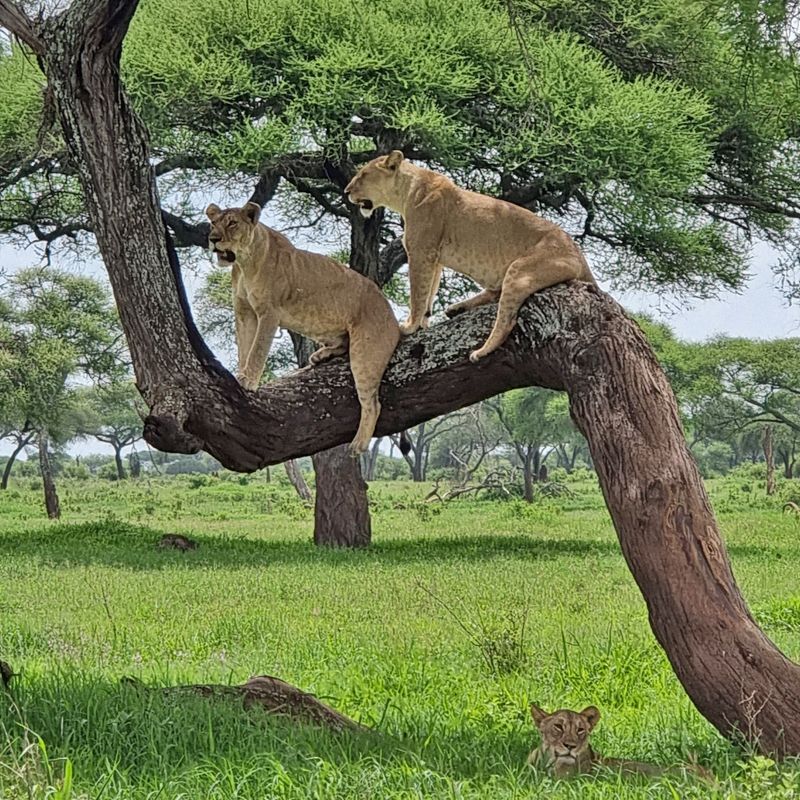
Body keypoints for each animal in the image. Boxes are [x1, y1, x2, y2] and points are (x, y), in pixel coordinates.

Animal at [205, 201, 400, 455]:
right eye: (213, 223)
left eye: (232, 223)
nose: (213, 239)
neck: (244, 264)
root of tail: (392, 315)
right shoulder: (244, 313)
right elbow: (244, 350)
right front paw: (241, 375)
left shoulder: (269, 313)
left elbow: (257, 350)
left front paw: (248, 381)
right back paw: (320, 355)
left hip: (365, 356)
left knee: (373, 404)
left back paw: (357, 445)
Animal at [344, 151, 595, 362]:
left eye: (363, 175)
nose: (346, 191)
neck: (406, 193)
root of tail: (581, 256)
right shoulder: (434, 259)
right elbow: (429, 293)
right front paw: (424, 323)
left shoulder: (421, 252)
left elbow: (417, 294)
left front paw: (409, 326)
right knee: (495, 293)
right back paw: (457, 309)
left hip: (521, 269)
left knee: (506, 318)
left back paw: (481, 350)